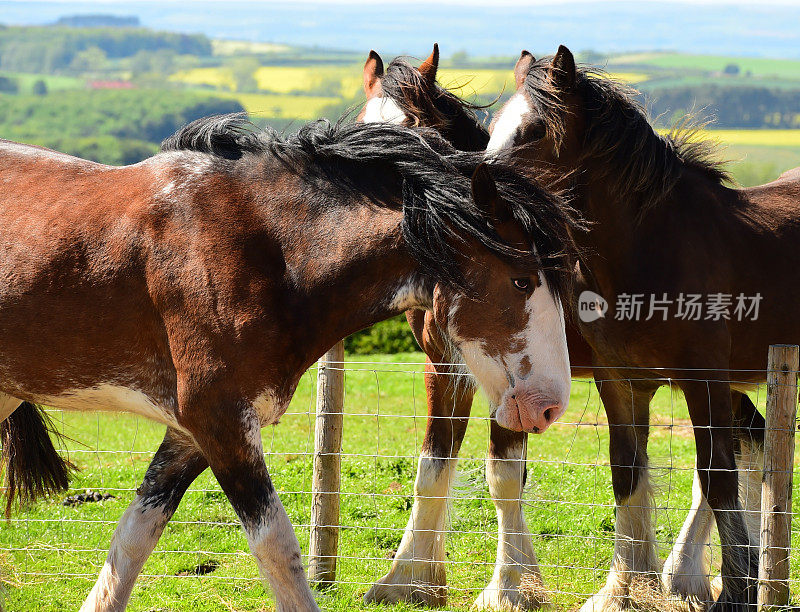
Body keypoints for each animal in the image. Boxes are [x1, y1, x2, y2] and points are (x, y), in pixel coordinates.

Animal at [0, 117, 580, 608]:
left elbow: (134, 540)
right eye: (521, 280)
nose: (549, 406)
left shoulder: (190, 434)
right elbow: (278, 547)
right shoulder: (220, 421)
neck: (265, 252)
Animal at [354, 45, 592, 608]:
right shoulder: (446, 367)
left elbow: (505, 476)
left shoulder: (515, 379)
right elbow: (432, 468)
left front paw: (515, 585)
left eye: (414, 132)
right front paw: (410, 577)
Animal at [488, 45, 792, 608]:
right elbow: (627, 473)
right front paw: (625, 589)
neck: (650, 249)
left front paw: (735, 592)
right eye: (494, 125)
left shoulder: (704, 381)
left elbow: (717, 476)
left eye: (534, 130)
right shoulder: (622, 383)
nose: (472, 188)